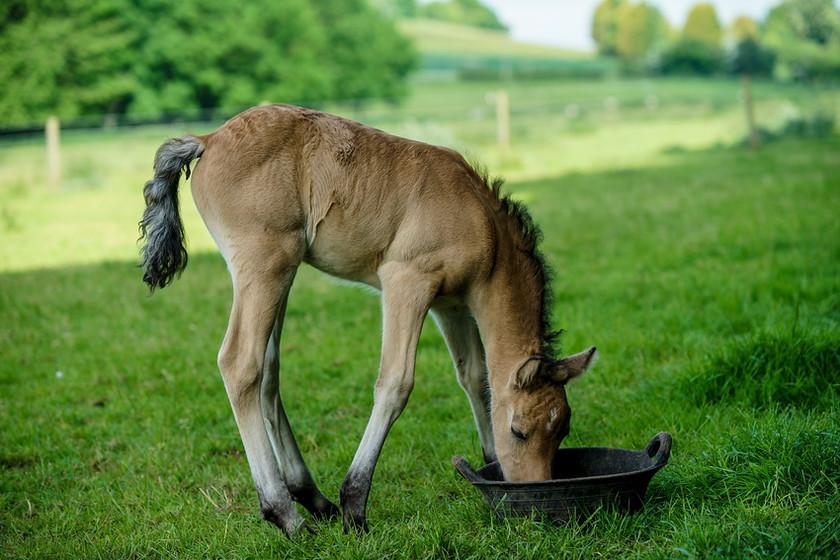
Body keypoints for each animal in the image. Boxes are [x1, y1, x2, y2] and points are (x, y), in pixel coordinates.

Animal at [139, 105, 596, 532]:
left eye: (563, 431)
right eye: (519, 431)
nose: (535, 498)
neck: (484, 226)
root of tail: (208, 138)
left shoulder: (450, 306)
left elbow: (475, 376)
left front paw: (489, 464)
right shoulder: (407, 282)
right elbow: (395, 384)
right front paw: (355, 505)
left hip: (279, 274)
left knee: (268, 371)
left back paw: (311, 497)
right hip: (265, 265)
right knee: (240, 365)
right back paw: (287, 515)